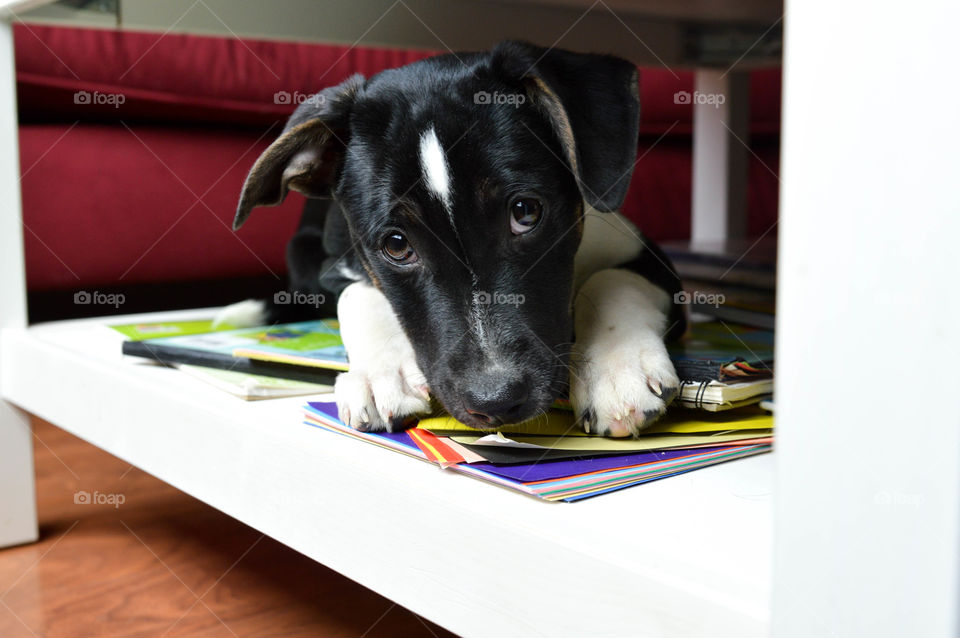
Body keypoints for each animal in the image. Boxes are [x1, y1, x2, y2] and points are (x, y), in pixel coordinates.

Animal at [221, 41, 688, 440]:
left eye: (525, 212)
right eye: (396, 245)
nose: (496, 401)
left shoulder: (646, 255)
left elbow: (610, 280)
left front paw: (616, 370)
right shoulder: (339, 267)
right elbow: (359, 295)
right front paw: (379, 376)